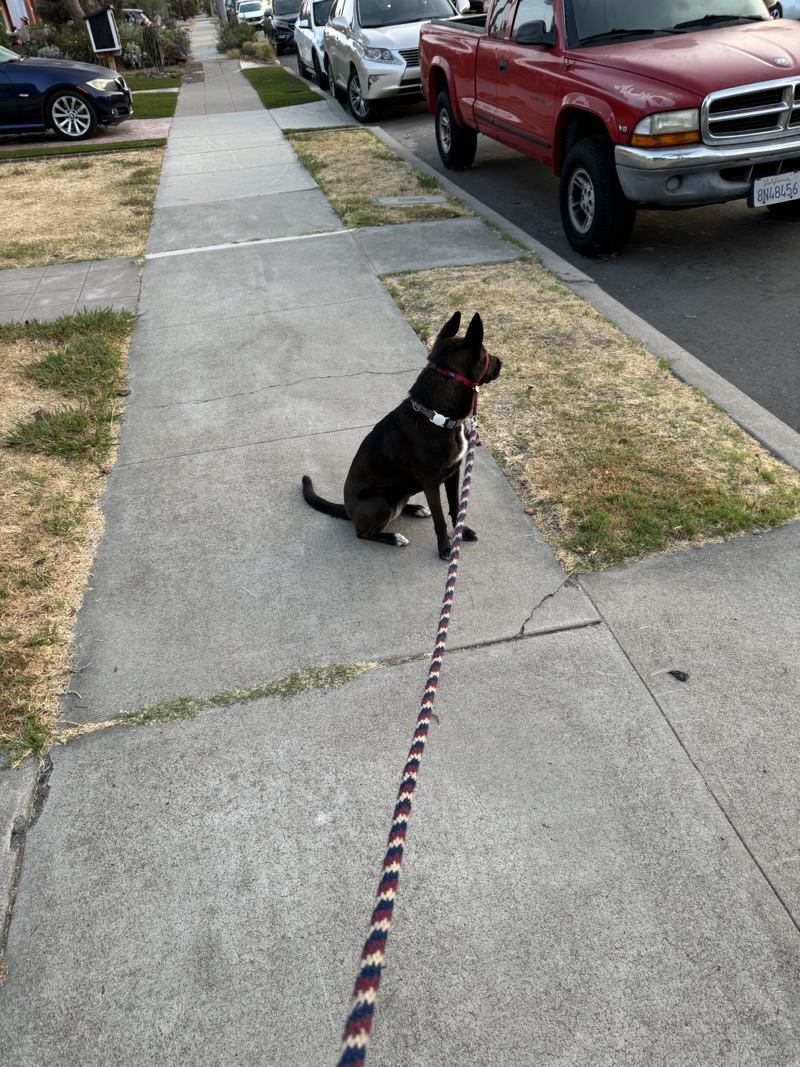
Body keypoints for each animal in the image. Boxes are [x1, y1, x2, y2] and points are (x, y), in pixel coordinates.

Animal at [300, 311, 501, 559]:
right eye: (484, 353)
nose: (501, 362)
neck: (435, 416)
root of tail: (347, 509)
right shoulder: (431, 483)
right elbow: (440, 519)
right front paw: (446, 548)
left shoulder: (454, 473)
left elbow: (455, 507)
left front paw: (462, 533)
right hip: (380, 500)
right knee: (362, 533)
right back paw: (393, 537)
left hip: (401, 492)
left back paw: (415, 508)